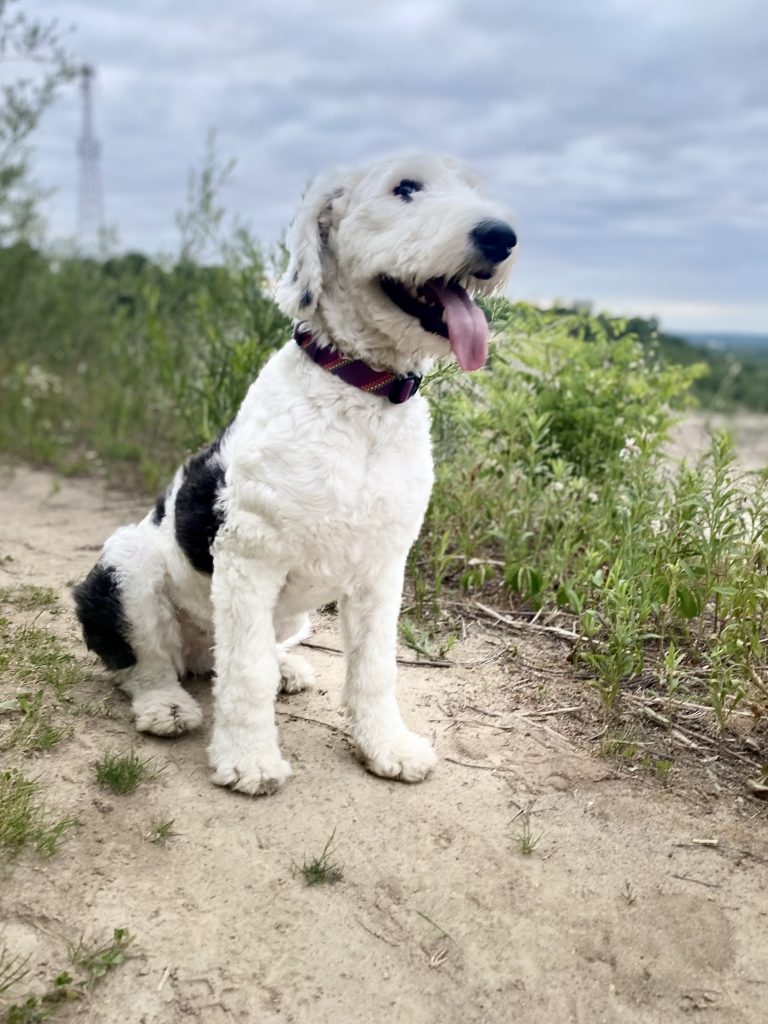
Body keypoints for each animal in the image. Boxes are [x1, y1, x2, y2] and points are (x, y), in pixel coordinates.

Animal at [73, 155, 518, 794]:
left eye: (474, 190)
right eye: (404, 188)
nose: (501, 236)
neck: (362, 398)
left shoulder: (383, 568)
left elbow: (375, 667)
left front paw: (386, 746)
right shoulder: (249, 557)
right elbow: (245, 673)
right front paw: (249, 759)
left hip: (292, 615)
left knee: (229, 657)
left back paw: (284, 668)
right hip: (125, 567)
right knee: (145, 662)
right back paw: (166, 706)